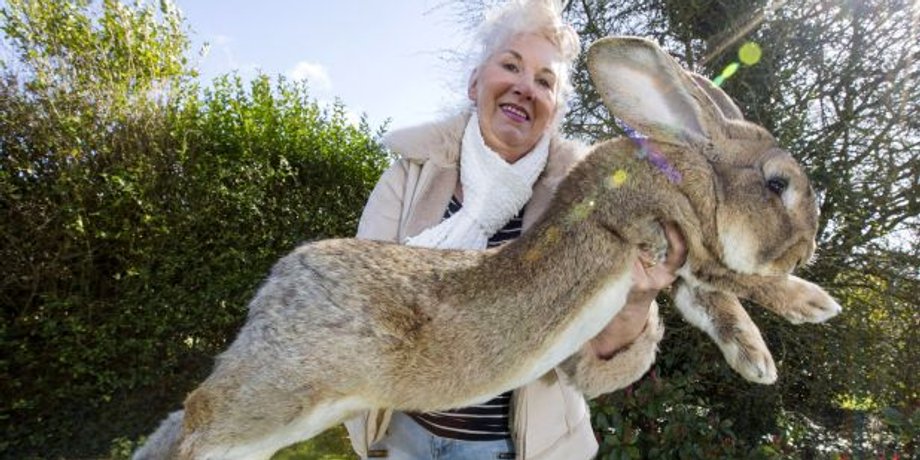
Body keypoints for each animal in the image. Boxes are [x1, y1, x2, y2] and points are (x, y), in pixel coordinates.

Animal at [133, 36, 841, 460]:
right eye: (778, 184)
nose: (808, 247)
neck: (688, 171)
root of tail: (275, 290)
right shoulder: (668, 234)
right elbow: (735, 279)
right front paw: (812, 303)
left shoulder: (683, 271)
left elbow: (714, 303)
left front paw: (756, 361)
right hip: (282, 393)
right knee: (199, 415)